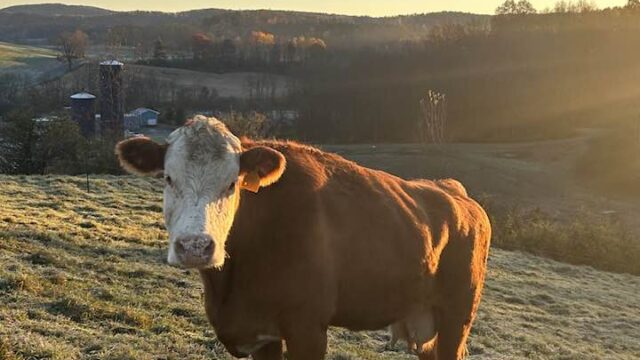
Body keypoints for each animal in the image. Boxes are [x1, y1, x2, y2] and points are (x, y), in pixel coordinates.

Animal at [115, 116, 492, 360]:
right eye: (168, 177)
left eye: (232, 183)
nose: (196, 246)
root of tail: (453, 190)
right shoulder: (260, 335)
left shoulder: (307, 328)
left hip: (457, 317)